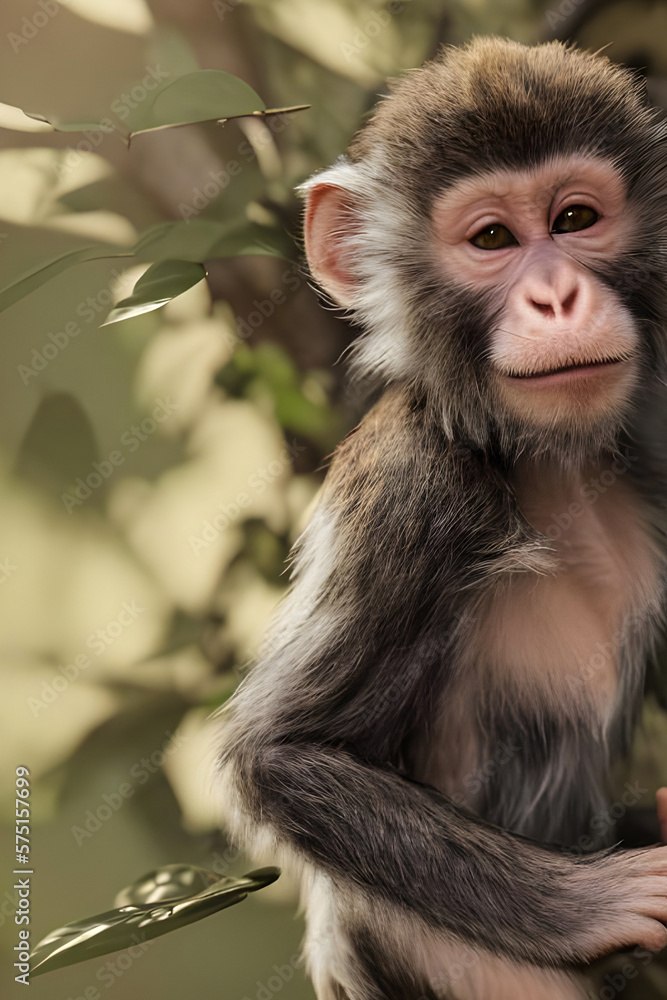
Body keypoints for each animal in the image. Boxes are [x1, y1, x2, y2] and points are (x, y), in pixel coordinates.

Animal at [217, 37, 667, 1000]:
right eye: (492, 239)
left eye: (575, 218)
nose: (557, 299)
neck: (546, 467)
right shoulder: (411, 495)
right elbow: (282, 753)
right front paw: (594, 903)